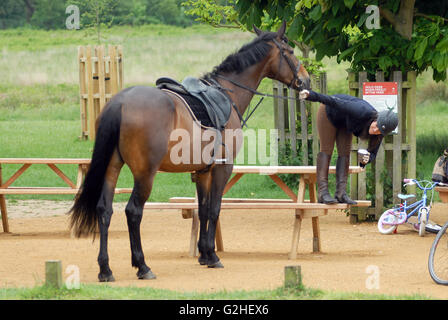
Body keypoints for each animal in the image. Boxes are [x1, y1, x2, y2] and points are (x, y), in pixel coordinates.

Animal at [69, 22, 312, 282]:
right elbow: (214, 209)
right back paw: (142, 266)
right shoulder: (223, 167)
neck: (227, 93)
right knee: (133, 212)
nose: (306, 80)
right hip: (145, 174)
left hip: (112, 167)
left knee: (104, 211)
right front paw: (213, 257)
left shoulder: (203, 171)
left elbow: (203, 210)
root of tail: (120, 102)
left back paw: (105, 269)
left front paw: (204, 254)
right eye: (290, 51)